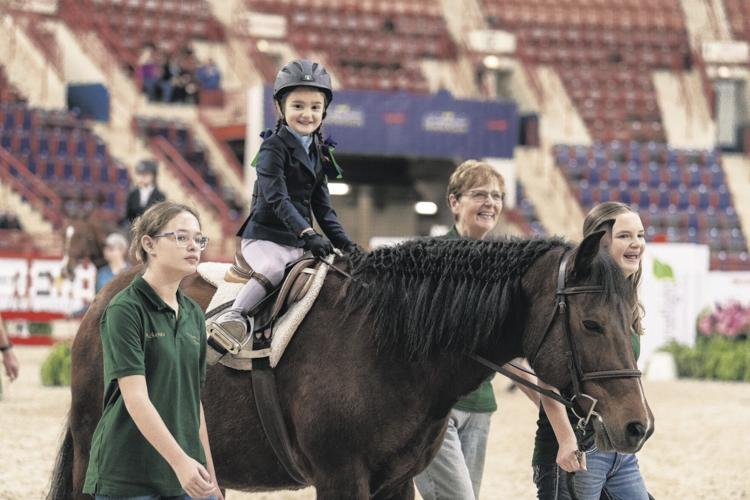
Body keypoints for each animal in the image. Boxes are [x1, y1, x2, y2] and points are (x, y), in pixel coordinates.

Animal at [47, 228, 654, 499]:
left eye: (630, 320)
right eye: (591, 324)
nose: (637, 426)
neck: (389, 348)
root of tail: (109, 296)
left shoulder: (395, 484)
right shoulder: (341, 479)